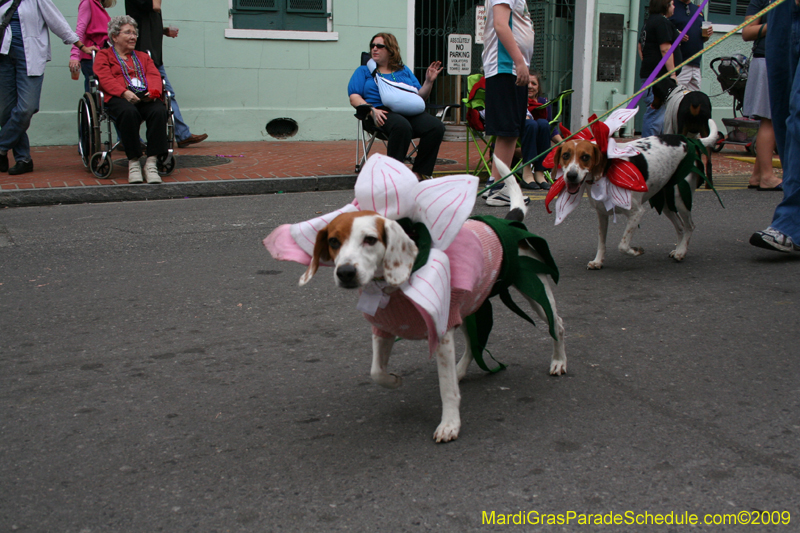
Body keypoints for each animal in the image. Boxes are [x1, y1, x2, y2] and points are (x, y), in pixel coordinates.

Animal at [556, 121, 720, 270]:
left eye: (585, 157)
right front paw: (598, 261)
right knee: (680, 227)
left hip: (680, 198)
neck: (607, 170)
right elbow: (601, 242)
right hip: (666, 202)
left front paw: (635, 251)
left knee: (689, 226)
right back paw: (678, 249)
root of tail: (687, 140)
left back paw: (681, 251)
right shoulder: (602, 214)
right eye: (565, 155)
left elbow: (622, 245)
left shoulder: (636, 213)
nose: (571, 176)